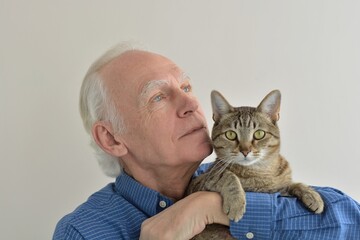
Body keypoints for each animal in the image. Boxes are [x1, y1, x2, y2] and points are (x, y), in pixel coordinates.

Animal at [187, 90, 324, 240]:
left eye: (259, 134)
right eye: (230, 135)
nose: (245, 151)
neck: (260, 172)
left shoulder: (278, 188)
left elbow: (293, 184)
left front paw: (312, 195)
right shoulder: (197, 184)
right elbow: (227, 175)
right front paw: (236, 203)